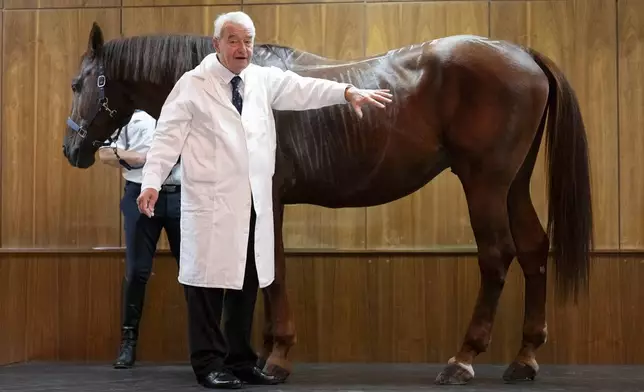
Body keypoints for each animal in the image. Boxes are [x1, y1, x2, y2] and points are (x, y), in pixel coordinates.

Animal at [63, 23, 592, 384]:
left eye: (77, 84)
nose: (71, 151)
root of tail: (522, 53)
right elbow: (259, 273)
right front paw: (260, 355)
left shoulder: (268, 199)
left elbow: (273, 269)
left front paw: (277, 358)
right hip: (513, 183)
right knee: (533, 249)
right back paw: (524, 359)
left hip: (483, 182)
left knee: (497, 257)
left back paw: (463, 360)